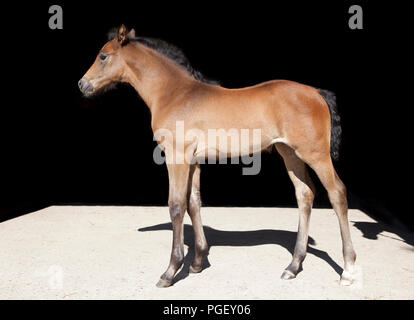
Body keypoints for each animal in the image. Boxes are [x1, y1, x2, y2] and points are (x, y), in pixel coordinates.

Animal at [80, 25, 356, 288]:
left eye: (103, 55)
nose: (83, 85)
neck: (175, 94)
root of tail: (316, 92)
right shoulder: (193, 161)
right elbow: (194, 202)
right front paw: (197, 262)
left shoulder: (177, 157)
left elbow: (176, 206)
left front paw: (171, 271)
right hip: (290, 154)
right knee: (305, 194)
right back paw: (293, 266)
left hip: (315, 154)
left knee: (337, 193)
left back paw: (348, 270)